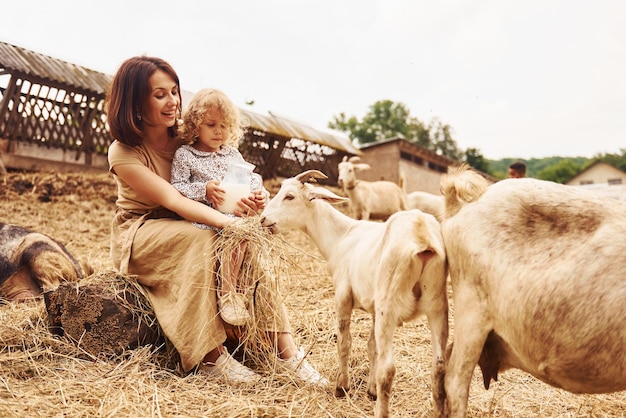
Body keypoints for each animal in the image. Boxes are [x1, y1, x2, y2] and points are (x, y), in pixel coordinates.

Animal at [260, 170, 448, 418]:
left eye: (289, 196)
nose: (263, 219)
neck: (341, 237)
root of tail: (422, 235)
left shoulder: (343, 295)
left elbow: (344, 342)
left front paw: (342, 387)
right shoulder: (374, 309)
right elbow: (372, 347)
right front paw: (370, 390)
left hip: (390, 303)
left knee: (389, 369)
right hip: (436, 304)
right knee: (439, 367)